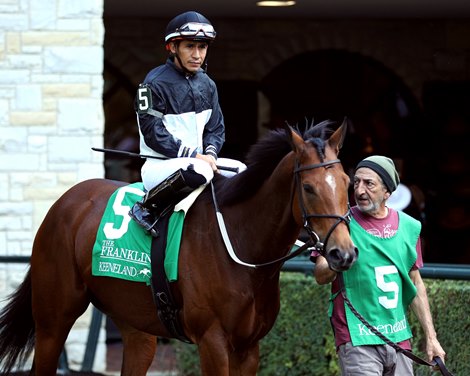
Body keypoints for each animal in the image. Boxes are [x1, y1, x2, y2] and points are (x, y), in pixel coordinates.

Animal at [0, 118, 356, 376]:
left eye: (347, 182)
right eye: (308, 188)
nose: (343, 253)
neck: (242, 249)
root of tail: (65, 203)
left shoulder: (249, 347)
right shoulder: (213, 342)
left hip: (135, 325)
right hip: (53, 319)